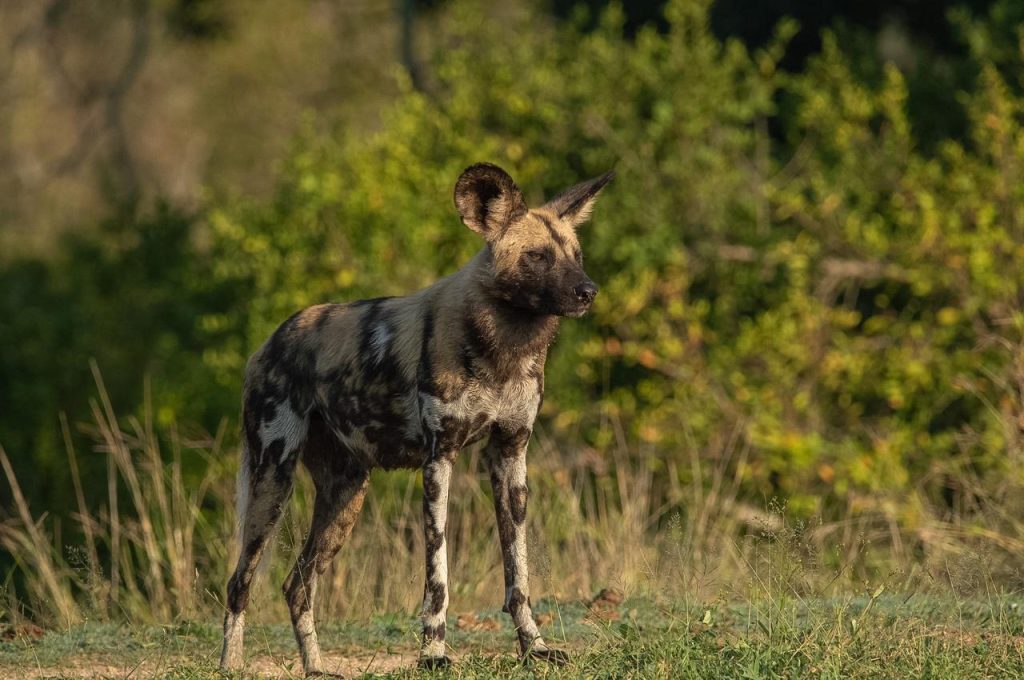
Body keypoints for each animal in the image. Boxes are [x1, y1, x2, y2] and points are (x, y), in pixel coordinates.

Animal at [219, 160, 610, 675]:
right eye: (538, 257)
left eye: (577, 254)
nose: (588, 291)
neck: (503, 347)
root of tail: (270, 341)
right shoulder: (439, 460)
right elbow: (437, 578)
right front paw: (434, 654)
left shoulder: (510, 455)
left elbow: (519, 576)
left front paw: (535, 649)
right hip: (273, 479)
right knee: (240, 582)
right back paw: (230, 665)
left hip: (346, 494)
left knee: (296, 584)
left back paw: (316, 668)